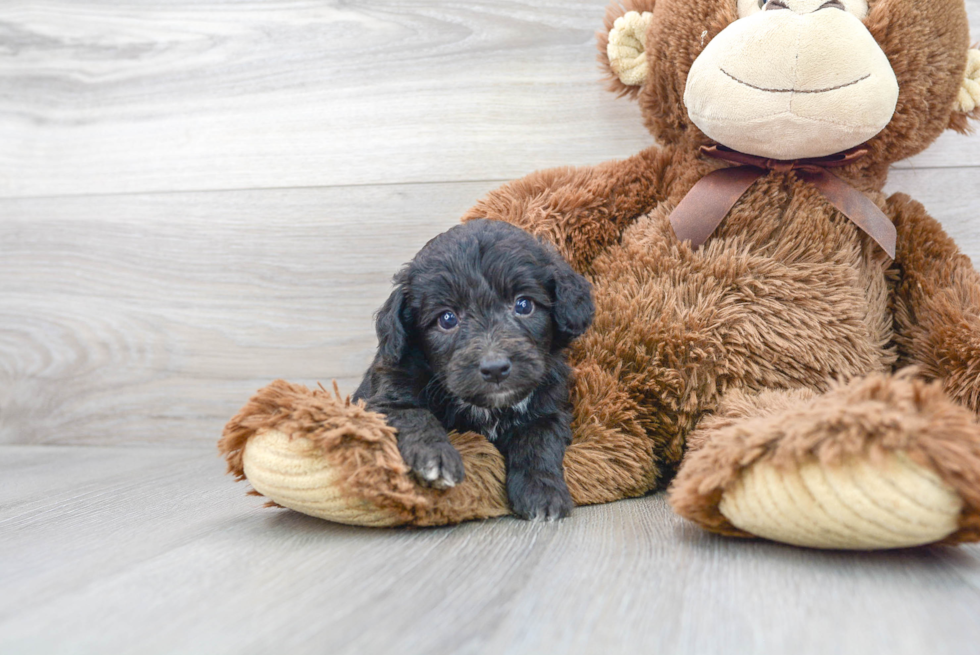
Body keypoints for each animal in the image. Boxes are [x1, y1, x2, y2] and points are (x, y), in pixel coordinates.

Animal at [356, 220, 592, 524]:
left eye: (524, 305)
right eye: (447, 319)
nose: (495, 369)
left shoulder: (548, 409)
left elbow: (538, 442)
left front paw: (542, 491)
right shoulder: (385, 400)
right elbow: (415, 417)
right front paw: (436, 456)